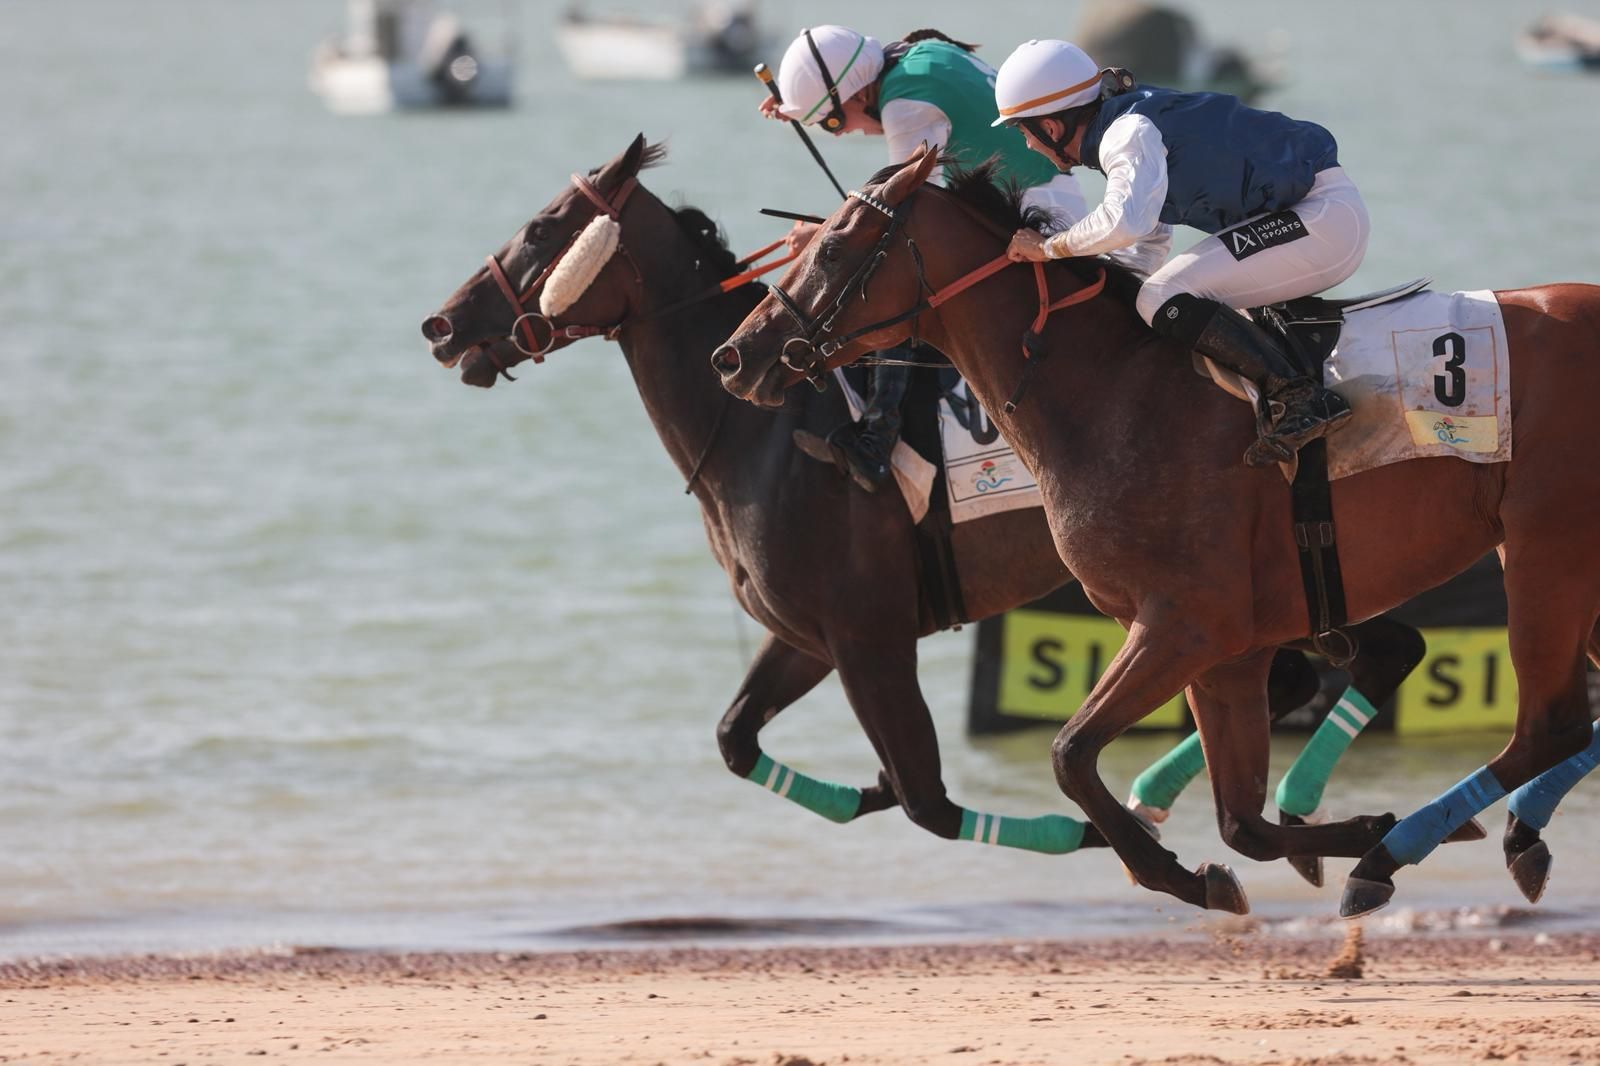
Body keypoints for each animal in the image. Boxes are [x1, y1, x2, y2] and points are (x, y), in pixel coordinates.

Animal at [419, 135, 1424, 885]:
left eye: (541, 227)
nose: (442, 324)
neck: (766, 434)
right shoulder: (810, 634)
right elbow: (738, 740)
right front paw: (860, 792)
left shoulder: (868, 635)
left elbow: (929, 802)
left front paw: (1102, 838)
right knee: (1357, 660)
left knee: (1354, 661)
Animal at [712, 145, 1600, 917]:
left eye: (832, 248)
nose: (737, 355)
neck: (1112, 394)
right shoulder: (1231, 650)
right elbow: (1242, 823)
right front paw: (1311, 840)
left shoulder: (1184, 625)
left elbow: (1071, 753)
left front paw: (1178, 871)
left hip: (1546, 555)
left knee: (1548, 726)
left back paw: (1397, 856)